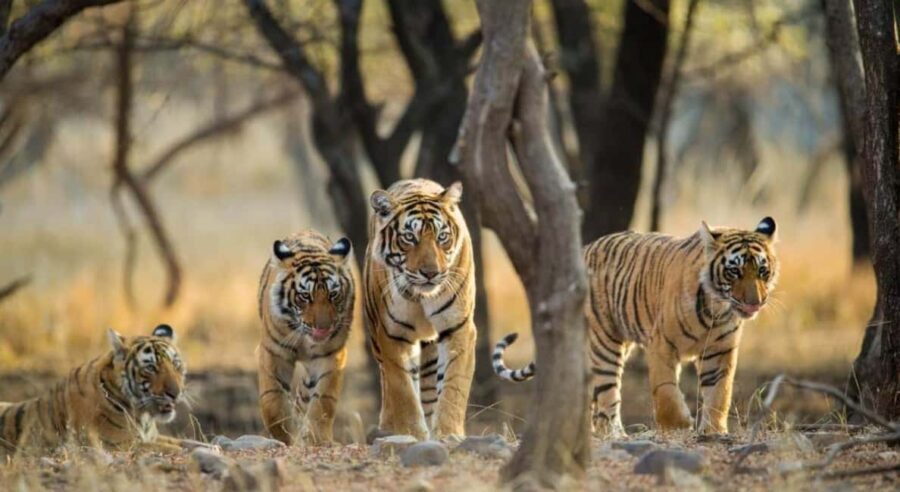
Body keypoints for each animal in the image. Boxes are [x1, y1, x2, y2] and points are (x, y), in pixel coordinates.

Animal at [0, 324, 189, 454]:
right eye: (150, 368)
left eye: (176, 364)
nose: (175, 394)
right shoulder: (120, 444)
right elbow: (178, 449)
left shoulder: (153, 437)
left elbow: (188, 443)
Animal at [257, 230, 355, 445]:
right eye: (304, 296)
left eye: (333, 294)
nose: (323, 328)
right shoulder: (273, 352)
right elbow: (273, 401)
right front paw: (284, 437)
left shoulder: (331, 355)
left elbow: (323, 401)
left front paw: (316, 439)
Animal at [364, 179, 476, 440]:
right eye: (409, 238)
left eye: (442, 237)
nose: (431, 273)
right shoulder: (392, 335)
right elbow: (402, 390)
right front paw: (410, 433)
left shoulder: (459, 328)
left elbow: (454, 386)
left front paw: (448, 434)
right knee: (389, 384)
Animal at [493, 217, 779, 436]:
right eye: (734, 271)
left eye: (762, 271)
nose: (755, 302)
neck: (716, 309)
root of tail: (584, 249)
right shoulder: (662, 344)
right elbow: (665, 390)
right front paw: (678, 425)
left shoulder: (720, 352)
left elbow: (720, 393)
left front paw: (713, 431)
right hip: (604, 343)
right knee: (607, 395)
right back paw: (614, 434)